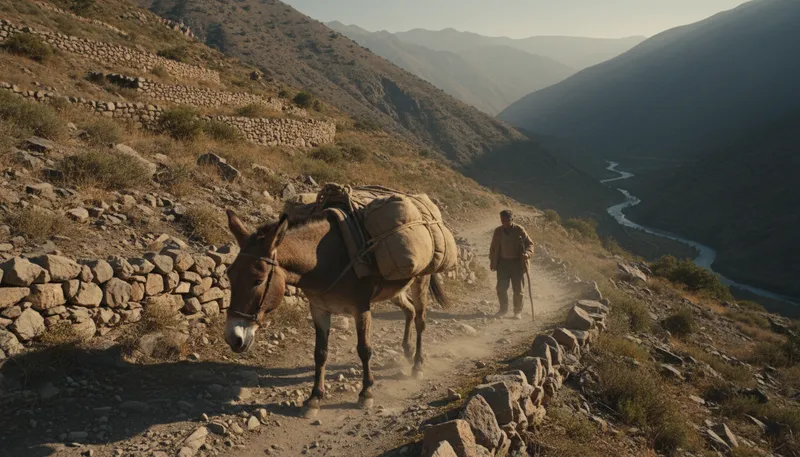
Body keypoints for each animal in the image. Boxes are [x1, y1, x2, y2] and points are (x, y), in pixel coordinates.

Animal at [223, 209, 449, 414]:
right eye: (229, 275)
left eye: (258, 280)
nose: (233, 338)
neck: (323, 261)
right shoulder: (319, 309)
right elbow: (320, 353)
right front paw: (314, 398)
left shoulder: (361, 308)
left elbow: (364, 349)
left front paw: (366, 393)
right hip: (395, 290)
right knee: (409, 310)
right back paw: (408, 350)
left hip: (420, 280)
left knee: (420, 319)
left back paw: (417, 365)